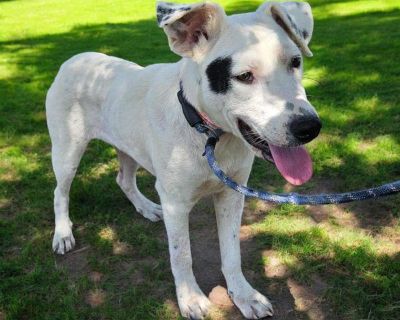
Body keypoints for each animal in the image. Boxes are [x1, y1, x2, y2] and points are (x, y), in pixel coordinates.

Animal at [47, 1, 322, 318]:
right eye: (244, 76)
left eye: (295, 61)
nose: (309, 127)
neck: (210, 138)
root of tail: (75, 58)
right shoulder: (175, 204)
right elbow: (182, 256)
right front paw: (190, 299)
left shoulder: (232, 194)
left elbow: (232, 253)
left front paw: (243, 295)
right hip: (67, 150)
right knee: (60, 192)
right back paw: (63, 233)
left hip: (128, 145)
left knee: (123, 179)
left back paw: (145, 208)